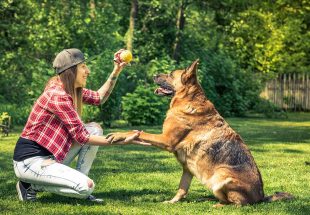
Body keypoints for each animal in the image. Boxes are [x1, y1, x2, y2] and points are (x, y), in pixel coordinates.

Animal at [108, 59, 294, 206]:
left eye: (170, 74)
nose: (154, 75)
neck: (187, 100)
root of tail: (261, 197)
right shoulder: (187, 168)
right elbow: (181, 189)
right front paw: (172, 202)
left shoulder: (166, 140)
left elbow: (139, 133)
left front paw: (118, 134)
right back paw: (206, 199)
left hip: (220, 176)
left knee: (238, 203)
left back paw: (218, 205)